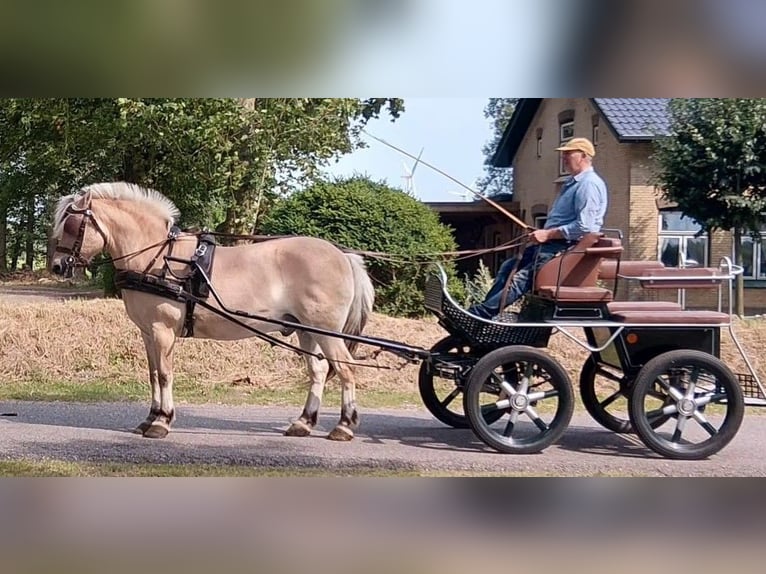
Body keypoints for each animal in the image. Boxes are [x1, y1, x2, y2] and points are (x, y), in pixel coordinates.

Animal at [50, 182, 375, 441]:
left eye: (70, 225)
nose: (56, 266)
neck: (157, 256)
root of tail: (343, 255)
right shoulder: (147, 332)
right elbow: (153, 374)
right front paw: (149, 418)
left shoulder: (162, 330)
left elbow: (165, 374)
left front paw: (161, 422)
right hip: (307, 331)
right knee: (318, 371)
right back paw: (303, 423)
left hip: (327, 331)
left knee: (346, 369)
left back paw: (344, 426)